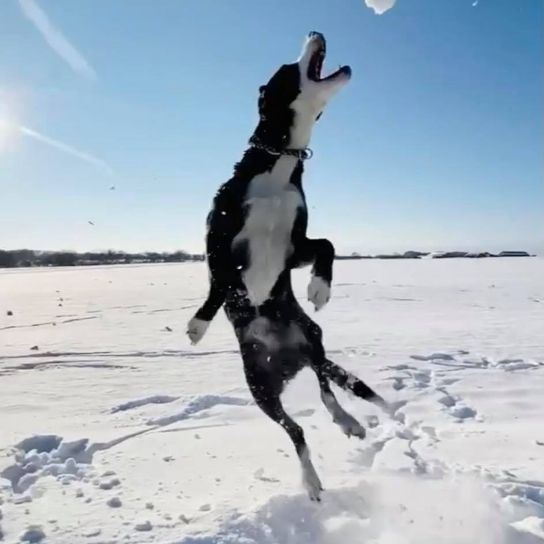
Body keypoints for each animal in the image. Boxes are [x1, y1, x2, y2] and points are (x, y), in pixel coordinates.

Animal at [187, 31, 392, 502]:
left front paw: (319, 288)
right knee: (295, 427)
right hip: (259, 387)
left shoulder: (293, 245)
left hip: (313, 339)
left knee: (323, 392)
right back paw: (313, 475)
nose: (316, 31)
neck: (278, 160)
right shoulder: (218, 234)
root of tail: (286, 359)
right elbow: (218, 281)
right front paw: (199, 324)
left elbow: (327, 245)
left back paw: (345, 425)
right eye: (285, 68)